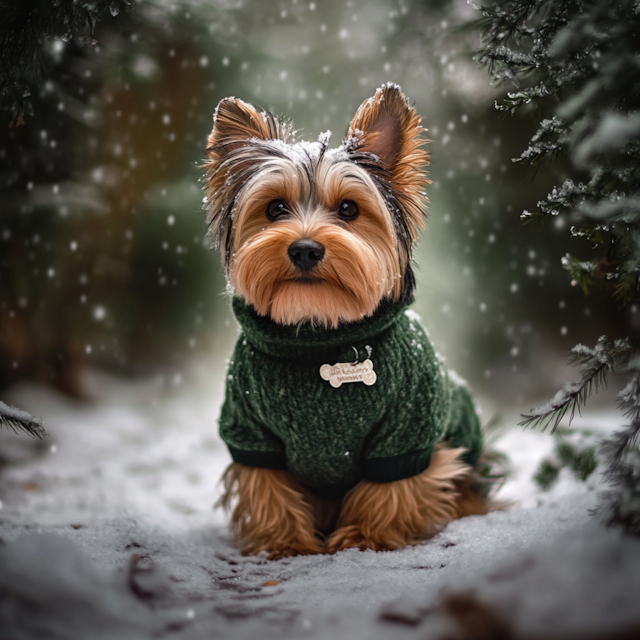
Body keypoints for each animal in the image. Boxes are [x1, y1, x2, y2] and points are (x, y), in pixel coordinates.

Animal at [205, 82, 490, 556]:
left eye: (349, 210)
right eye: (275, 208)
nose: (305, 249)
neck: (318, 330)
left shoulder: (407, 430)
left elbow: (389, 491)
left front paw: (364, 538)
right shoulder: (249, 429)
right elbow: (267, 488)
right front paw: (284, 543)